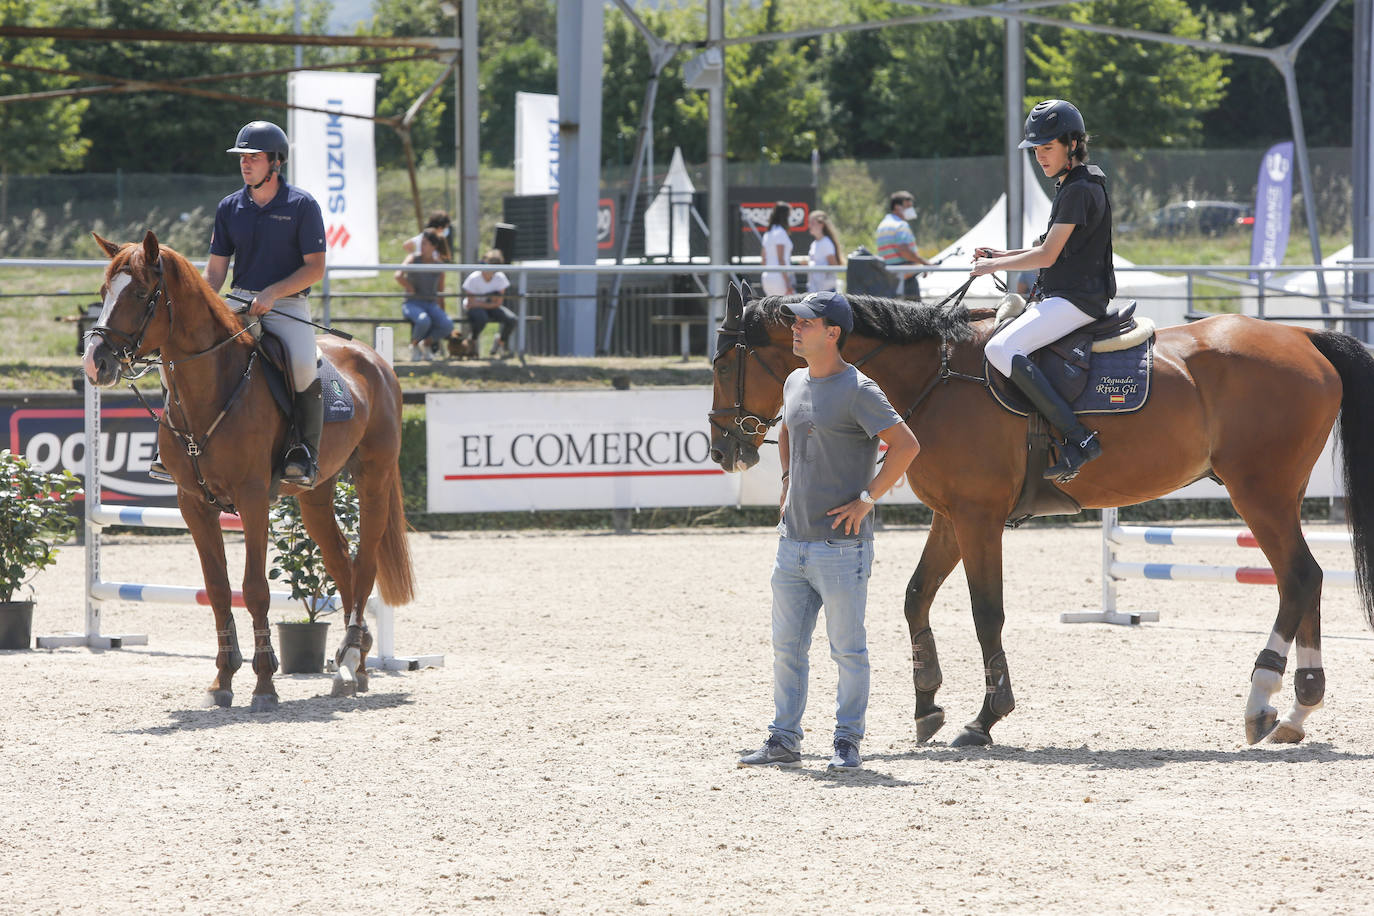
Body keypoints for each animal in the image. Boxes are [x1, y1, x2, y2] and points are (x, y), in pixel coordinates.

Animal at [79, 233, 409, 714]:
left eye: (140, 294)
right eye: (104, 293)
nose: (94, 363)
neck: (212, 385)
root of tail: (374, 358)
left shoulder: (253, 499)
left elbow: (254, 589)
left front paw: (264, 684)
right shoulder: (194, 505)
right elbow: (217, 589)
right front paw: (222, 680)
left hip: (374, 478)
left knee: (364, 563)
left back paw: (349, 655)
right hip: (315, 494)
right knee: (341, 561)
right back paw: (356, 666)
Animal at [708, 282, 1374, 747]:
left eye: (720, 366)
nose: (722, 450)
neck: (933, 377)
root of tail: (1303, 337)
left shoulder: (978, 518)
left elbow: (986, 612)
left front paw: (985, 717)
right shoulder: (951, 517)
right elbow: (916, 596)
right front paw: (927, 704)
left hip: (1259, 492)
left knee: (1297, 577)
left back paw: (1262, 700)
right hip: (1276, 496)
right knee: (1306, 579)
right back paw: (1297, 710)